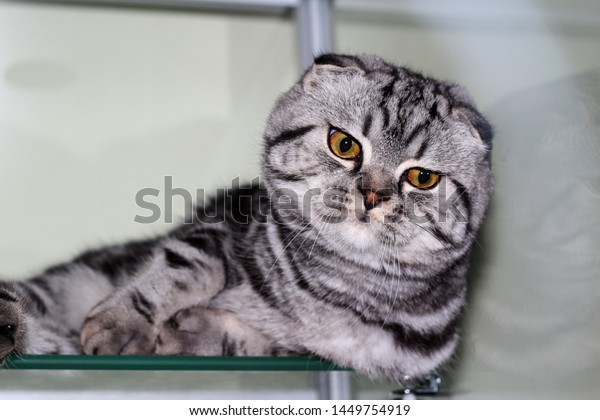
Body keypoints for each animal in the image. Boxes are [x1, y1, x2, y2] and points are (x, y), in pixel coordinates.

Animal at [0, 54, 492, 382]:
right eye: (344, 144)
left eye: (422, 178)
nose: (372, 195)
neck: (339, 291)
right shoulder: (213, 230)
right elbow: (188, 269)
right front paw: (124, 324)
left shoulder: (312, 357)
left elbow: (255, 344)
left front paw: (189, 332)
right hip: (73, 280)